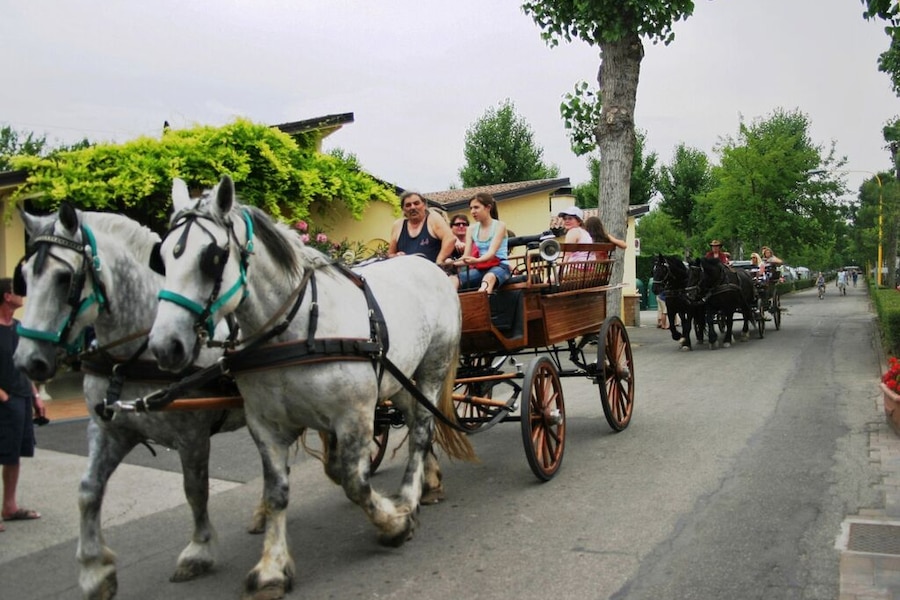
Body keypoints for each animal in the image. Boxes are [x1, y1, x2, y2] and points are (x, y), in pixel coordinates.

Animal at [12, 204, 261, 600]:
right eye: (22, 278)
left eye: (64, 278)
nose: (27, 362)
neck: (132, 354)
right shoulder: (110, 429)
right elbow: (88, 490)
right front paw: (94, 570)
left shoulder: (192, 434)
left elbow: (195, 489)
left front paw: (199, 551)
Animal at [147, 176, 475, 600]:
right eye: (161, 259)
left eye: (212, 258)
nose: (164, 346)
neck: (297, 327)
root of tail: (427, 265)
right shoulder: (267, 426)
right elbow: (278, 492)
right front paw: (271, 569)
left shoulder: (354, 416)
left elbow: (354, 481)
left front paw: (395, 523)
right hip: (399, 375)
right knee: (417, 415)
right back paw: (429, 483)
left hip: (433, 366)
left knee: (421, 429)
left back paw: (408, 495)